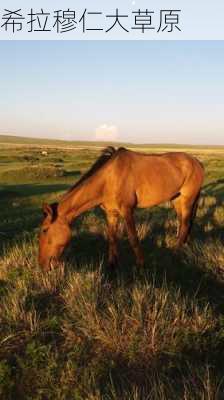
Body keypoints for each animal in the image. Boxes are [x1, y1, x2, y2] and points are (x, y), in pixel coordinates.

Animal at [39, 147, 205, 272]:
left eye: (45, 230)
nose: (42, 265)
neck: (109, 179)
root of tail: (197, 162)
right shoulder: (110, 213)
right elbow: (112, 238)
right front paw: (112, 264)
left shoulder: (127, 211)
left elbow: (133, 239)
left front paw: (141, 266)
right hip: (177, 199)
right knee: (183, 222)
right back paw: (183, 244)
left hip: (187, 199)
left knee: (185, 223)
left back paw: (176, 253)